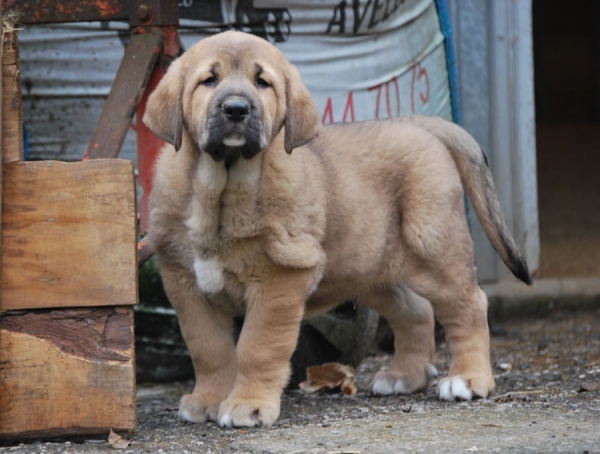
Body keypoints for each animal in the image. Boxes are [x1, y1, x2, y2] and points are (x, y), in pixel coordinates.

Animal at [144, 30, 528, 428]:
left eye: (262, 82)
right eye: (209, 80)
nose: (236, 109)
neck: (220, 191)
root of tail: (418, 123)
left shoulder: (280, 278)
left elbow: (257, 346)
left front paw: (248, 404)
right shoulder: (186, 285)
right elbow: (209, 349)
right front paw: (209, 399)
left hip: (435, 249)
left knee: (469, 305)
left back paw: (468, 379)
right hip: (370, 269)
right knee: (416, 310)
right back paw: (405, 376)